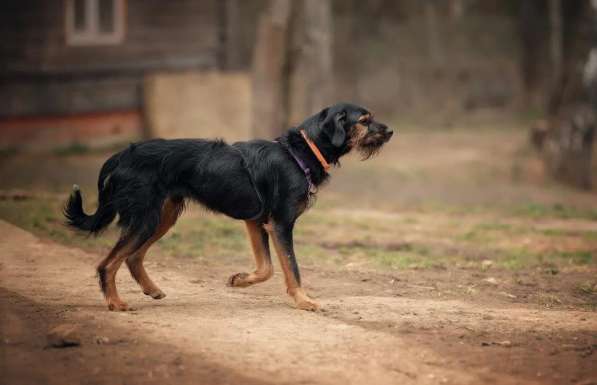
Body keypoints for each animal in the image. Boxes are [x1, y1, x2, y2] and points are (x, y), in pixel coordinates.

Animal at [64, 103, 392, 312]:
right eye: (364, 120)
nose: (391, 132)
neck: (300, 153)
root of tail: (121, 155)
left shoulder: (257, 222)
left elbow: (267, 268)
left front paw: (240, 280)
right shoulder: (281, 223)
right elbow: (291, 267)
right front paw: (303, 300)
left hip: (162, 217)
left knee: (132, 257)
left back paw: (150, 289)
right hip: (145, 217)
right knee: (108, 264)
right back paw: (115, 303)